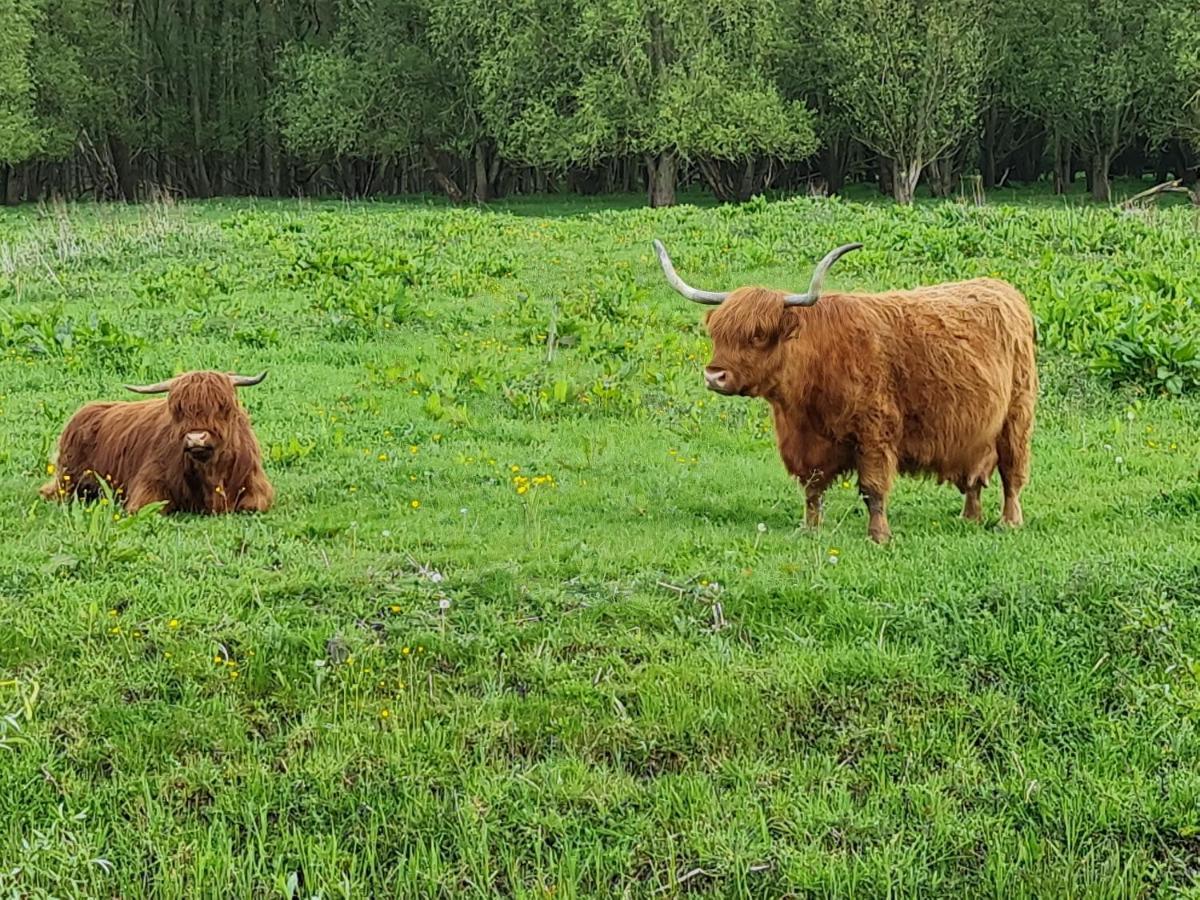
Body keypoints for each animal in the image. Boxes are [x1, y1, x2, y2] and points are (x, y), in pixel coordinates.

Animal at [41, 372, 274, 513]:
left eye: (223, 407)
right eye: (178, 410)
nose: (196, 438)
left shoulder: (256, 487)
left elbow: (254, 505)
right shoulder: (148, 485)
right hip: (67, 480)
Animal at [652, 240, 1036, 547]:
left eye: (758, 335)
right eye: (716, 333)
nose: (714, 376)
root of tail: (1002, 288)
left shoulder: (874, 433)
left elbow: (873, 489)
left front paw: (879, 536)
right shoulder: (805, 442)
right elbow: (812, 489)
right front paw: (809, 530)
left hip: (1016, 417)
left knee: (1012, 473)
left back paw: (1009, 522)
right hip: (974, 430)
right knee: (974, 477)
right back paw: (969, 517)